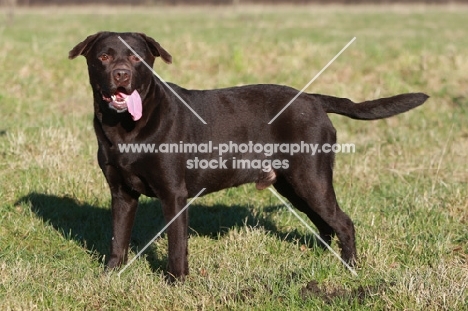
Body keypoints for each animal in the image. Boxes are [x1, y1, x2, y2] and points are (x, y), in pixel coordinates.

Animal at [68, 31, 428, 280]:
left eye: (137, 59)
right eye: (104, 56)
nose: (121, 75)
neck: (125, 128)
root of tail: (312, 99)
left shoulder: (174, 194)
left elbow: (176, 246)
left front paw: (176, 283)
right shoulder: (122, 193)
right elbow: (117, 239)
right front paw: (110, 276)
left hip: (311, 179)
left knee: (344, 222)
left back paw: (350, 267)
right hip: (293, 186)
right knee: (325, 223)